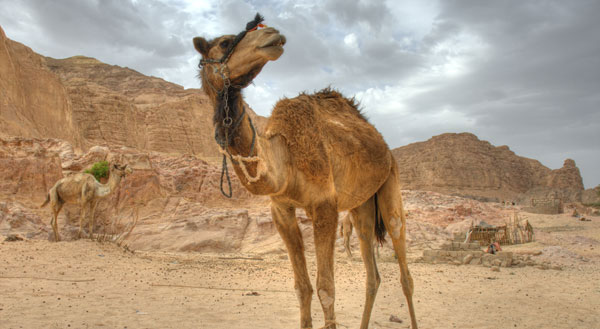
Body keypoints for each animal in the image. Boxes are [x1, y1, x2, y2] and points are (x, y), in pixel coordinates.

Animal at [193, 13, 418, 328]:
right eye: (225, 42)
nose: (272, 34)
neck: (284, 158)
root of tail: (382, 142)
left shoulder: (325, 205)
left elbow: (326, 289)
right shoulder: (281, 209)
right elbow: (302, 288)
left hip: (390, 179)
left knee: (404, 267)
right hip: (361, 205)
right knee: (372, 274)